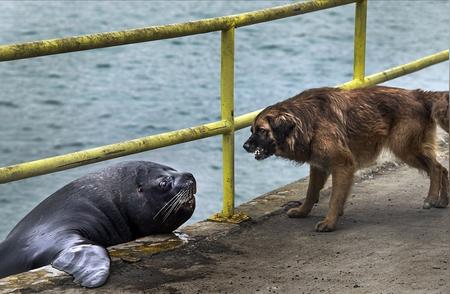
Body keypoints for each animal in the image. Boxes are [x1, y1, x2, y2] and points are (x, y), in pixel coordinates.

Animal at [244, 85, 448, 232]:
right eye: (252, 130)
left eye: (261, 130)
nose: (245, 146)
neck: (306, 120)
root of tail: (419, 94)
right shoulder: (318, 166)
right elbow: (311, 193)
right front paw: (303, 212)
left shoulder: (343, 165)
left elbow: (334, 197)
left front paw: (329, 222)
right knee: (443, 168)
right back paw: (443, 201)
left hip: (404, 148)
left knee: (436, 168)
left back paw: (431, 198)